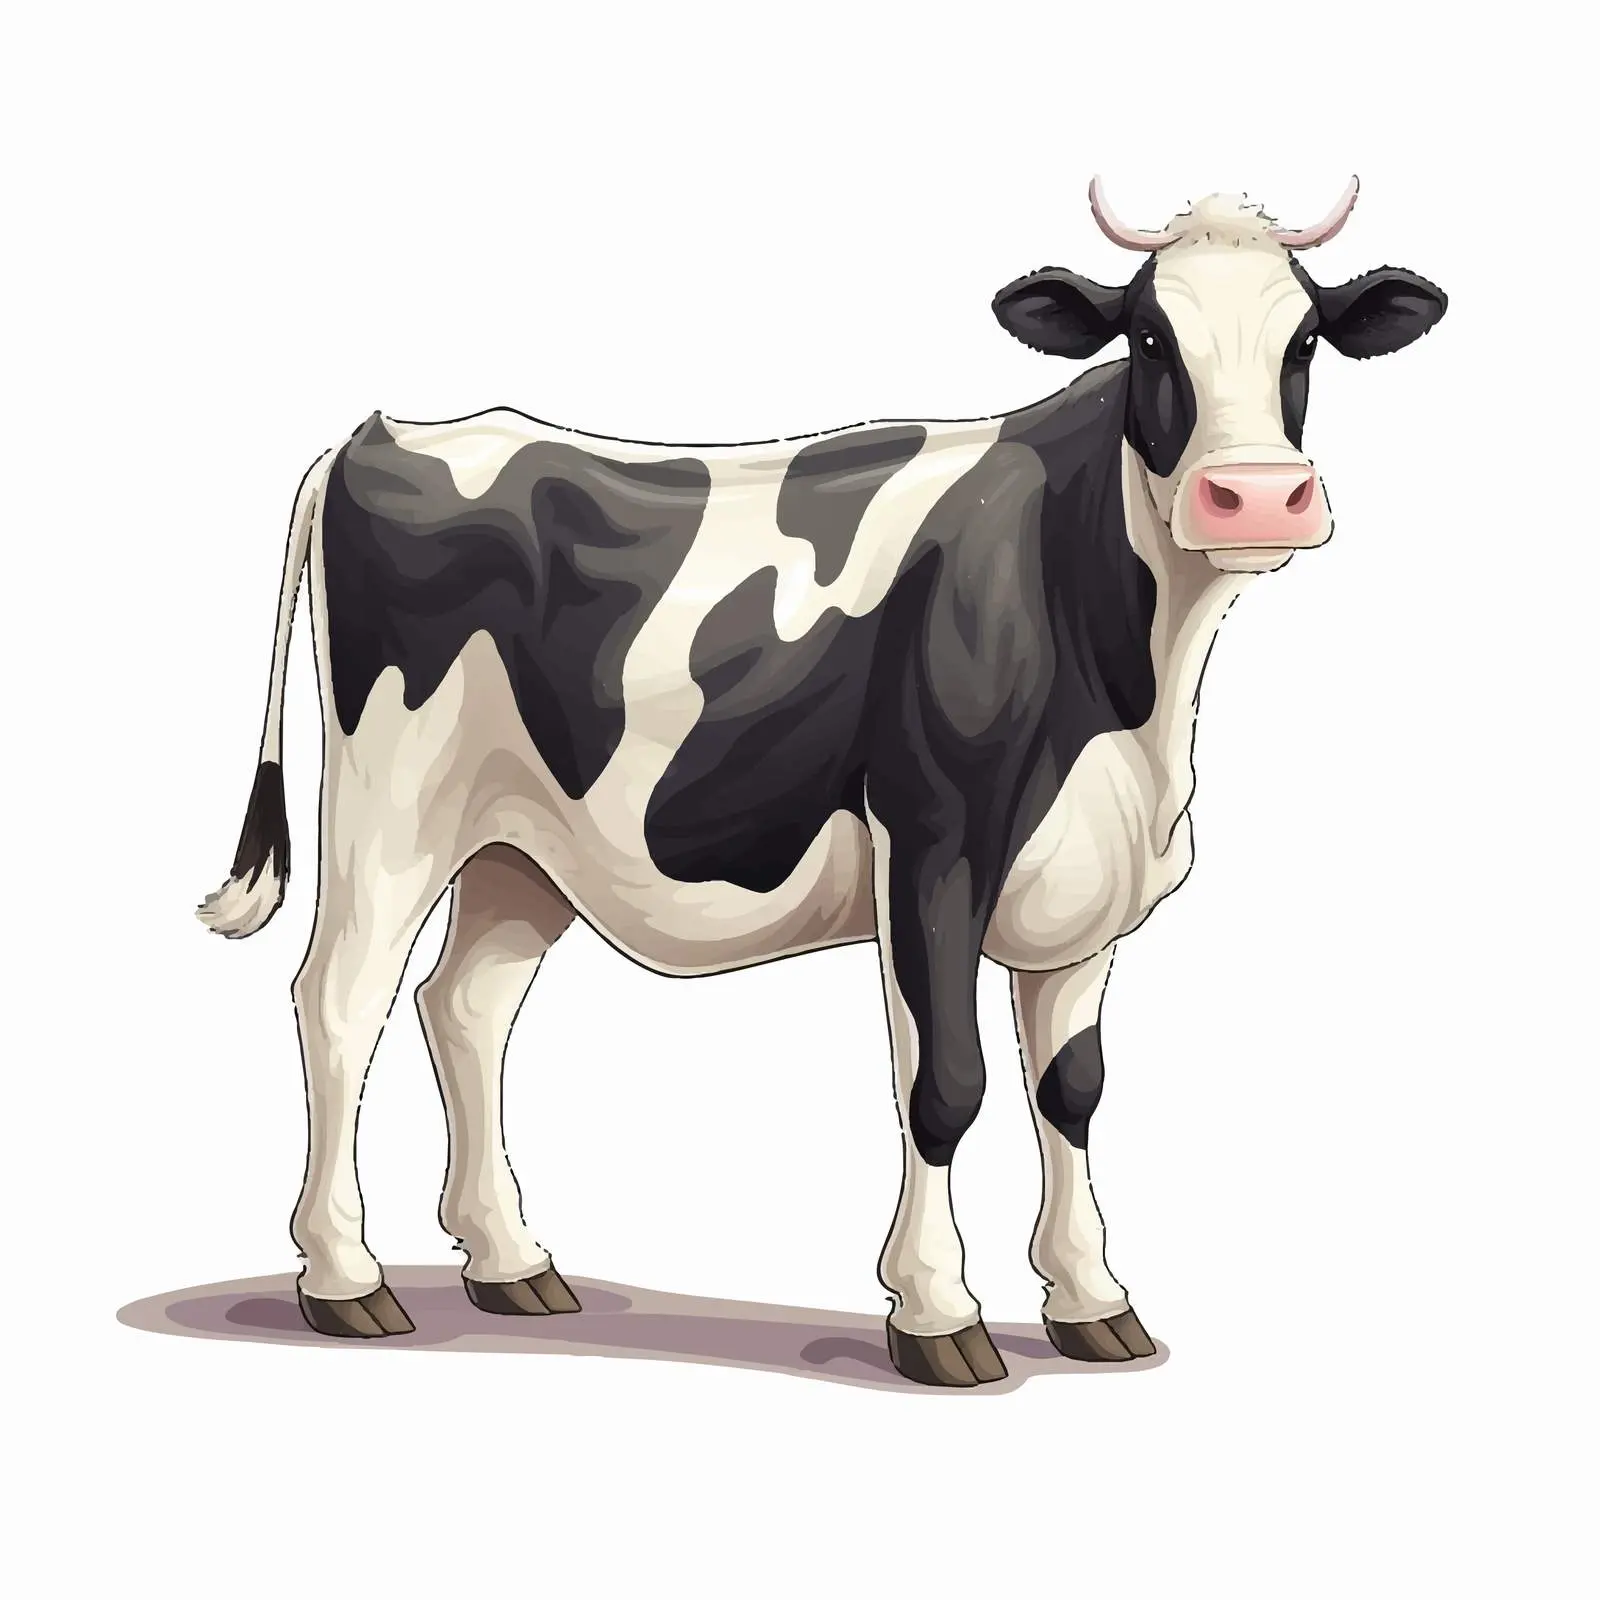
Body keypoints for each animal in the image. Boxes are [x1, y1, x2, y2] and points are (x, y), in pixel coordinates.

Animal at [199, 178, 1446, 1386]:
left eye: (1304, 340)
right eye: (1148, 335)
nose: (1257, 495)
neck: (1127, 693)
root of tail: (384, 433)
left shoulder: (1089, 887)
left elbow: (1073, 1090)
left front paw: (1093, 1301)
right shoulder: (933, 847)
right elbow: (944, 1082)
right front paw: (937, 1312)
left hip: (520, 842)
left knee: (465, 1005)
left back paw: (512, 1262)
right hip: (390, 802)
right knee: (339, 999)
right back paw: (345, 1279)